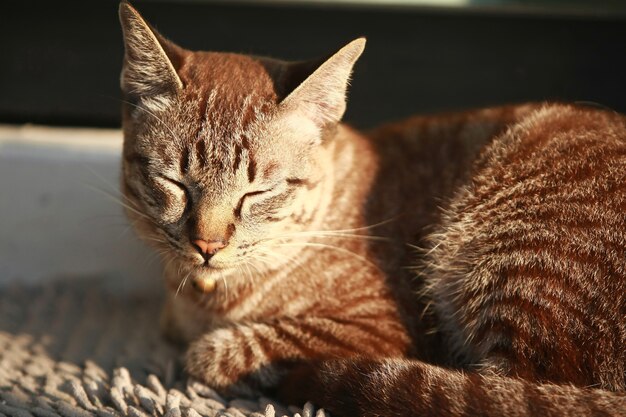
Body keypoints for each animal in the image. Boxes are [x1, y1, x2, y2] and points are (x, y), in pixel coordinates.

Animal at [118, 1, 624, 414]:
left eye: (256, 193)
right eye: (175, 183)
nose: (207, 244)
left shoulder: (377, 330)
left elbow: (230, 350)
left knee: (497, 390)